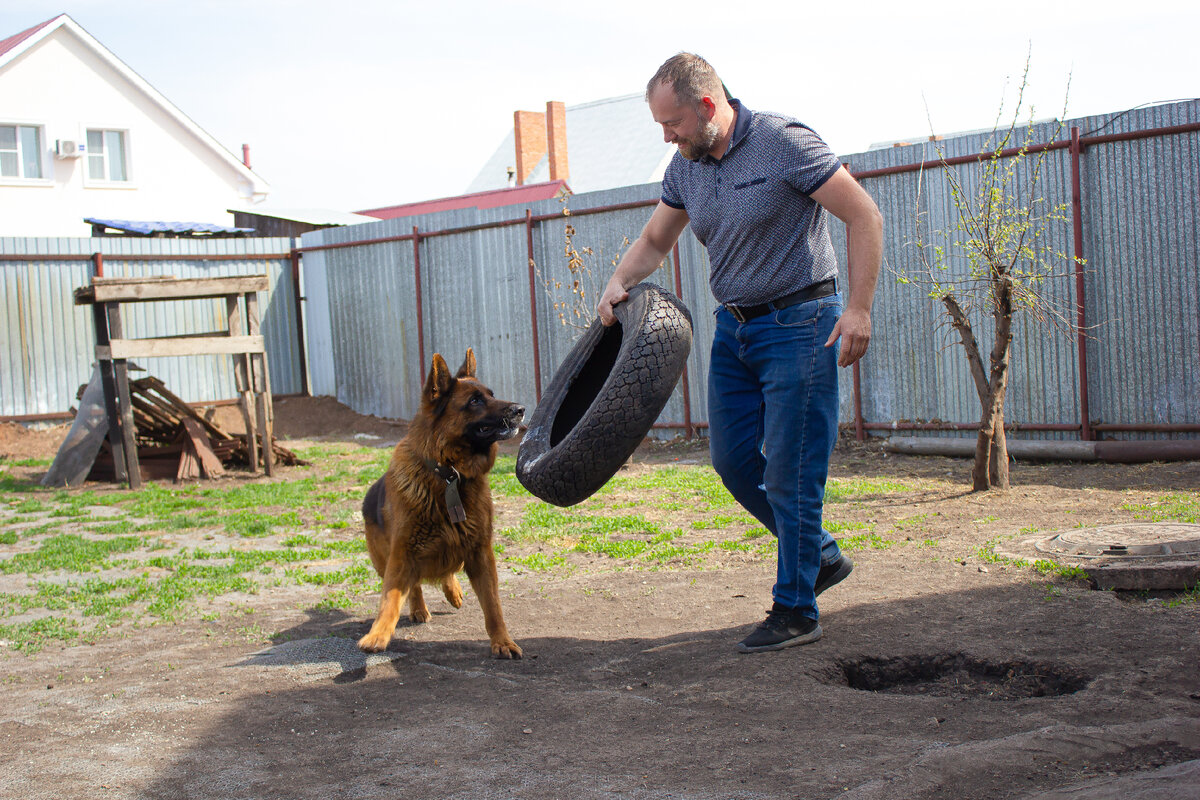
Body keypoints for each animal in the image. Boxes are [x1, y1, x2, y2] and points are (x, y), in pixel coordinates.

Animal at [355, 347, 525, 657]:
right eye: (474, 401)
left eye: (491, 394)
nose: (521, 409)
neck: (450, 476)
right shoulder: (401, 554)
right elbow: (390, 599)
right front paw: (378, 634)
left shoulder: (481, 553)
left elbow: (493, 605)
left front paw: (502, 641)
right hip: (386, 559)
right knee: (415, 585)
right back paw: (419, 608)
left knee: (445, 570)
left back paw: (452, 591)